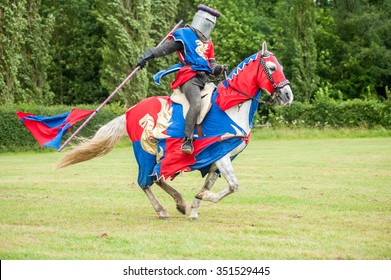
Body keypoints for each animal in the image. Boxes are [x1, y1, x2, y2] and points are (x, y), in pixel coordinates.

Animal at [56, 42, 294, 220]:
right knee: (145, 182)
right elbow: (234, 185)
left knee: (157, 177)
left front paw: (196, 206)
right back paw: (162, 210)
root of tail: (130, 111)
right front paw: (206, 197)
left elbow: (213, 184)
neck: (229, 108)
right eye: (272, 68)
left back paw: (180, 203)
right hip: (145, 151)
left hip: (159, 153)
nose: (288, 96)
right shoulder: (221, 154)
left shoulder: (218, 159)